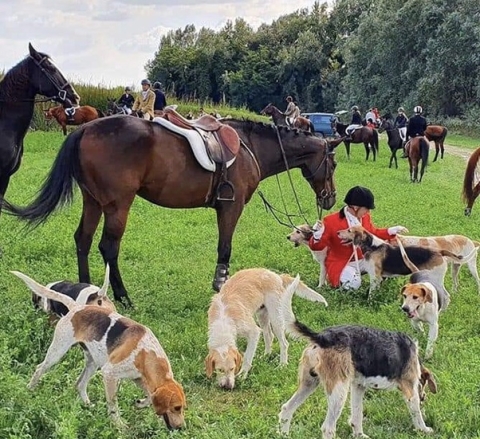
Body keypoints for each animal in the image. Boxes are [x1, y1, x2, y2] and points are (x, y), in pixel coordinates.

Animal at [1, 118, 338, 308]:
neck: (249, 146)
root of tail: (84, 129)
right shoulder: (231, 206)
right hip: (118, 205)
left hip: (93, 201)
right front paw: (221, 284)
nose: (331, 198)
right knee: (108, 247)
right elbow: (225, 247)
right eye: (333, 164)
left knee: (82, 240)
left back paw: (87, 293)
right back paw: (123, 297)